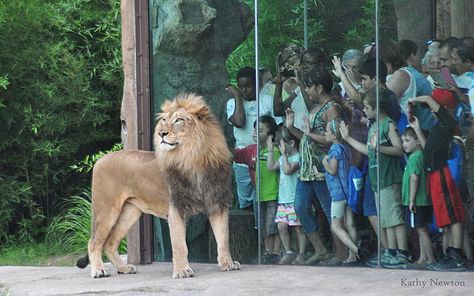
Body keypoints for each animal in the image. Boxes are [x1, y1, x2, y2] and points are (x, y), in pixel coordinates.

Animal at [78, 93, 241, 278]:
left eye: (179, 120)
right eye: (164, 120)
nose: (161, 133)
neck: (193, 157)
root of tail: (99, 160)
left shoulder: (217, 204)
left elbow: (223, 238)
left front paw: (227, 263)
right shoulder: (176, 207)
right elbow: (179, 244)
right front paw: (182, 270)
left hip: (130, 212)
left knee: (110, 243)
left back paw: (123, 268)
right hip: (106, 209)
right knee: (94, 242)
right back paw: (99, 270)